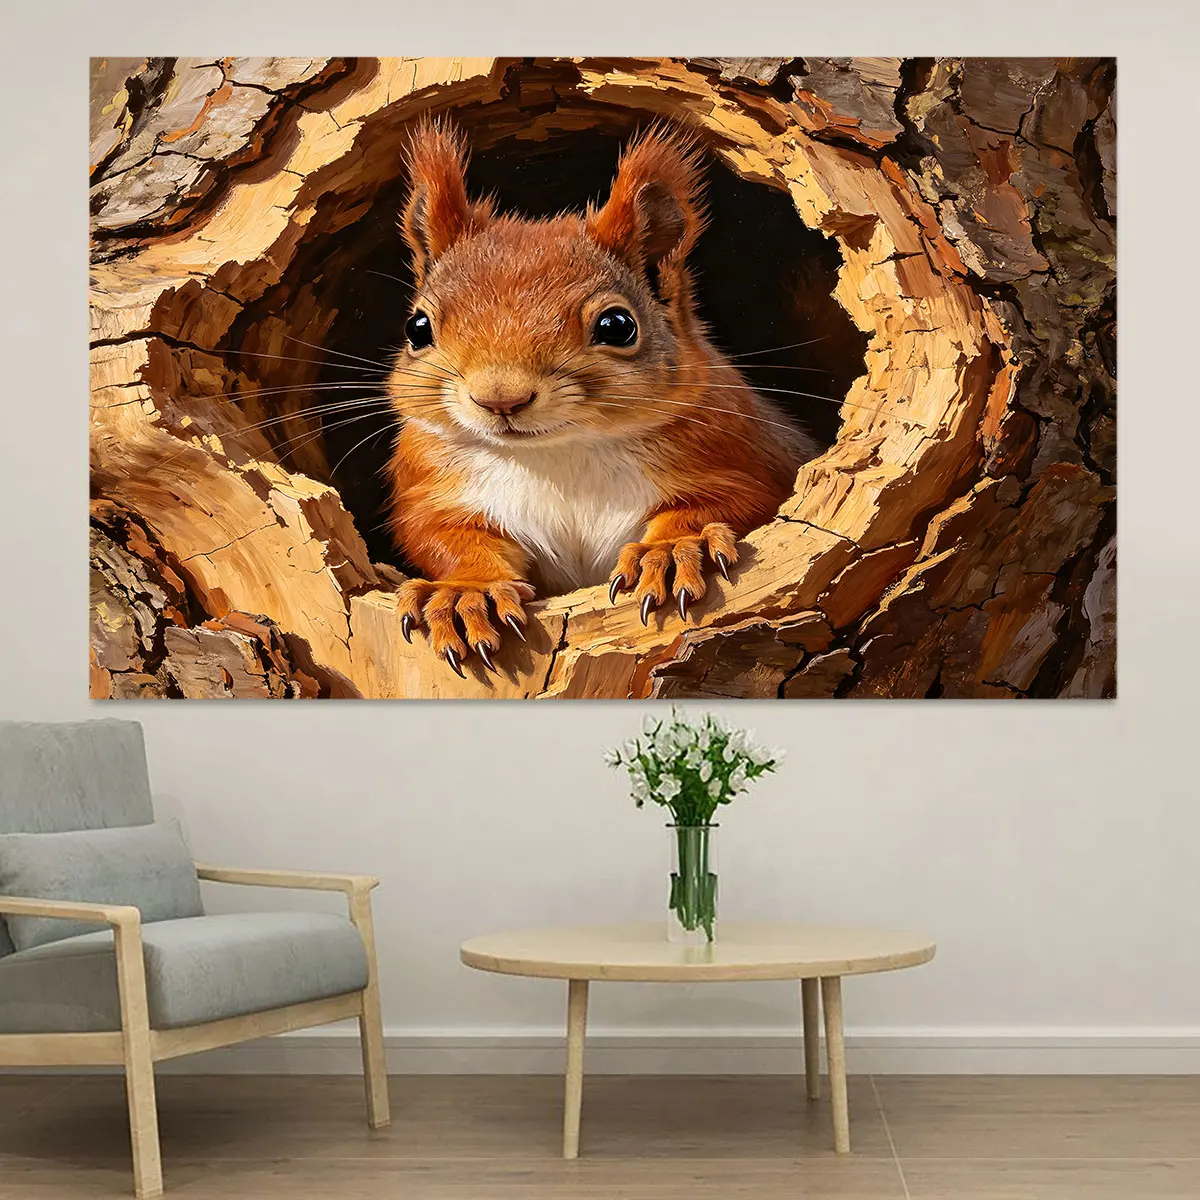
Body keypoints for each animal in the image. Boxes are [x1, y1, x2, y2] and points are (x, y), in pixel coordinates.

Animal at [386, 121, 818, 676]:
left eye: (618, 326)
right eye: (417, 328)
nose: (500, 398)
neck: (559, 455)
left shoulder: (747, 457)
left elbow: (733, 502)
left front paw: (675, 549)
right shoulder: (432, 484)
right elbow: (440, 536)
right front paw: (465, 593)